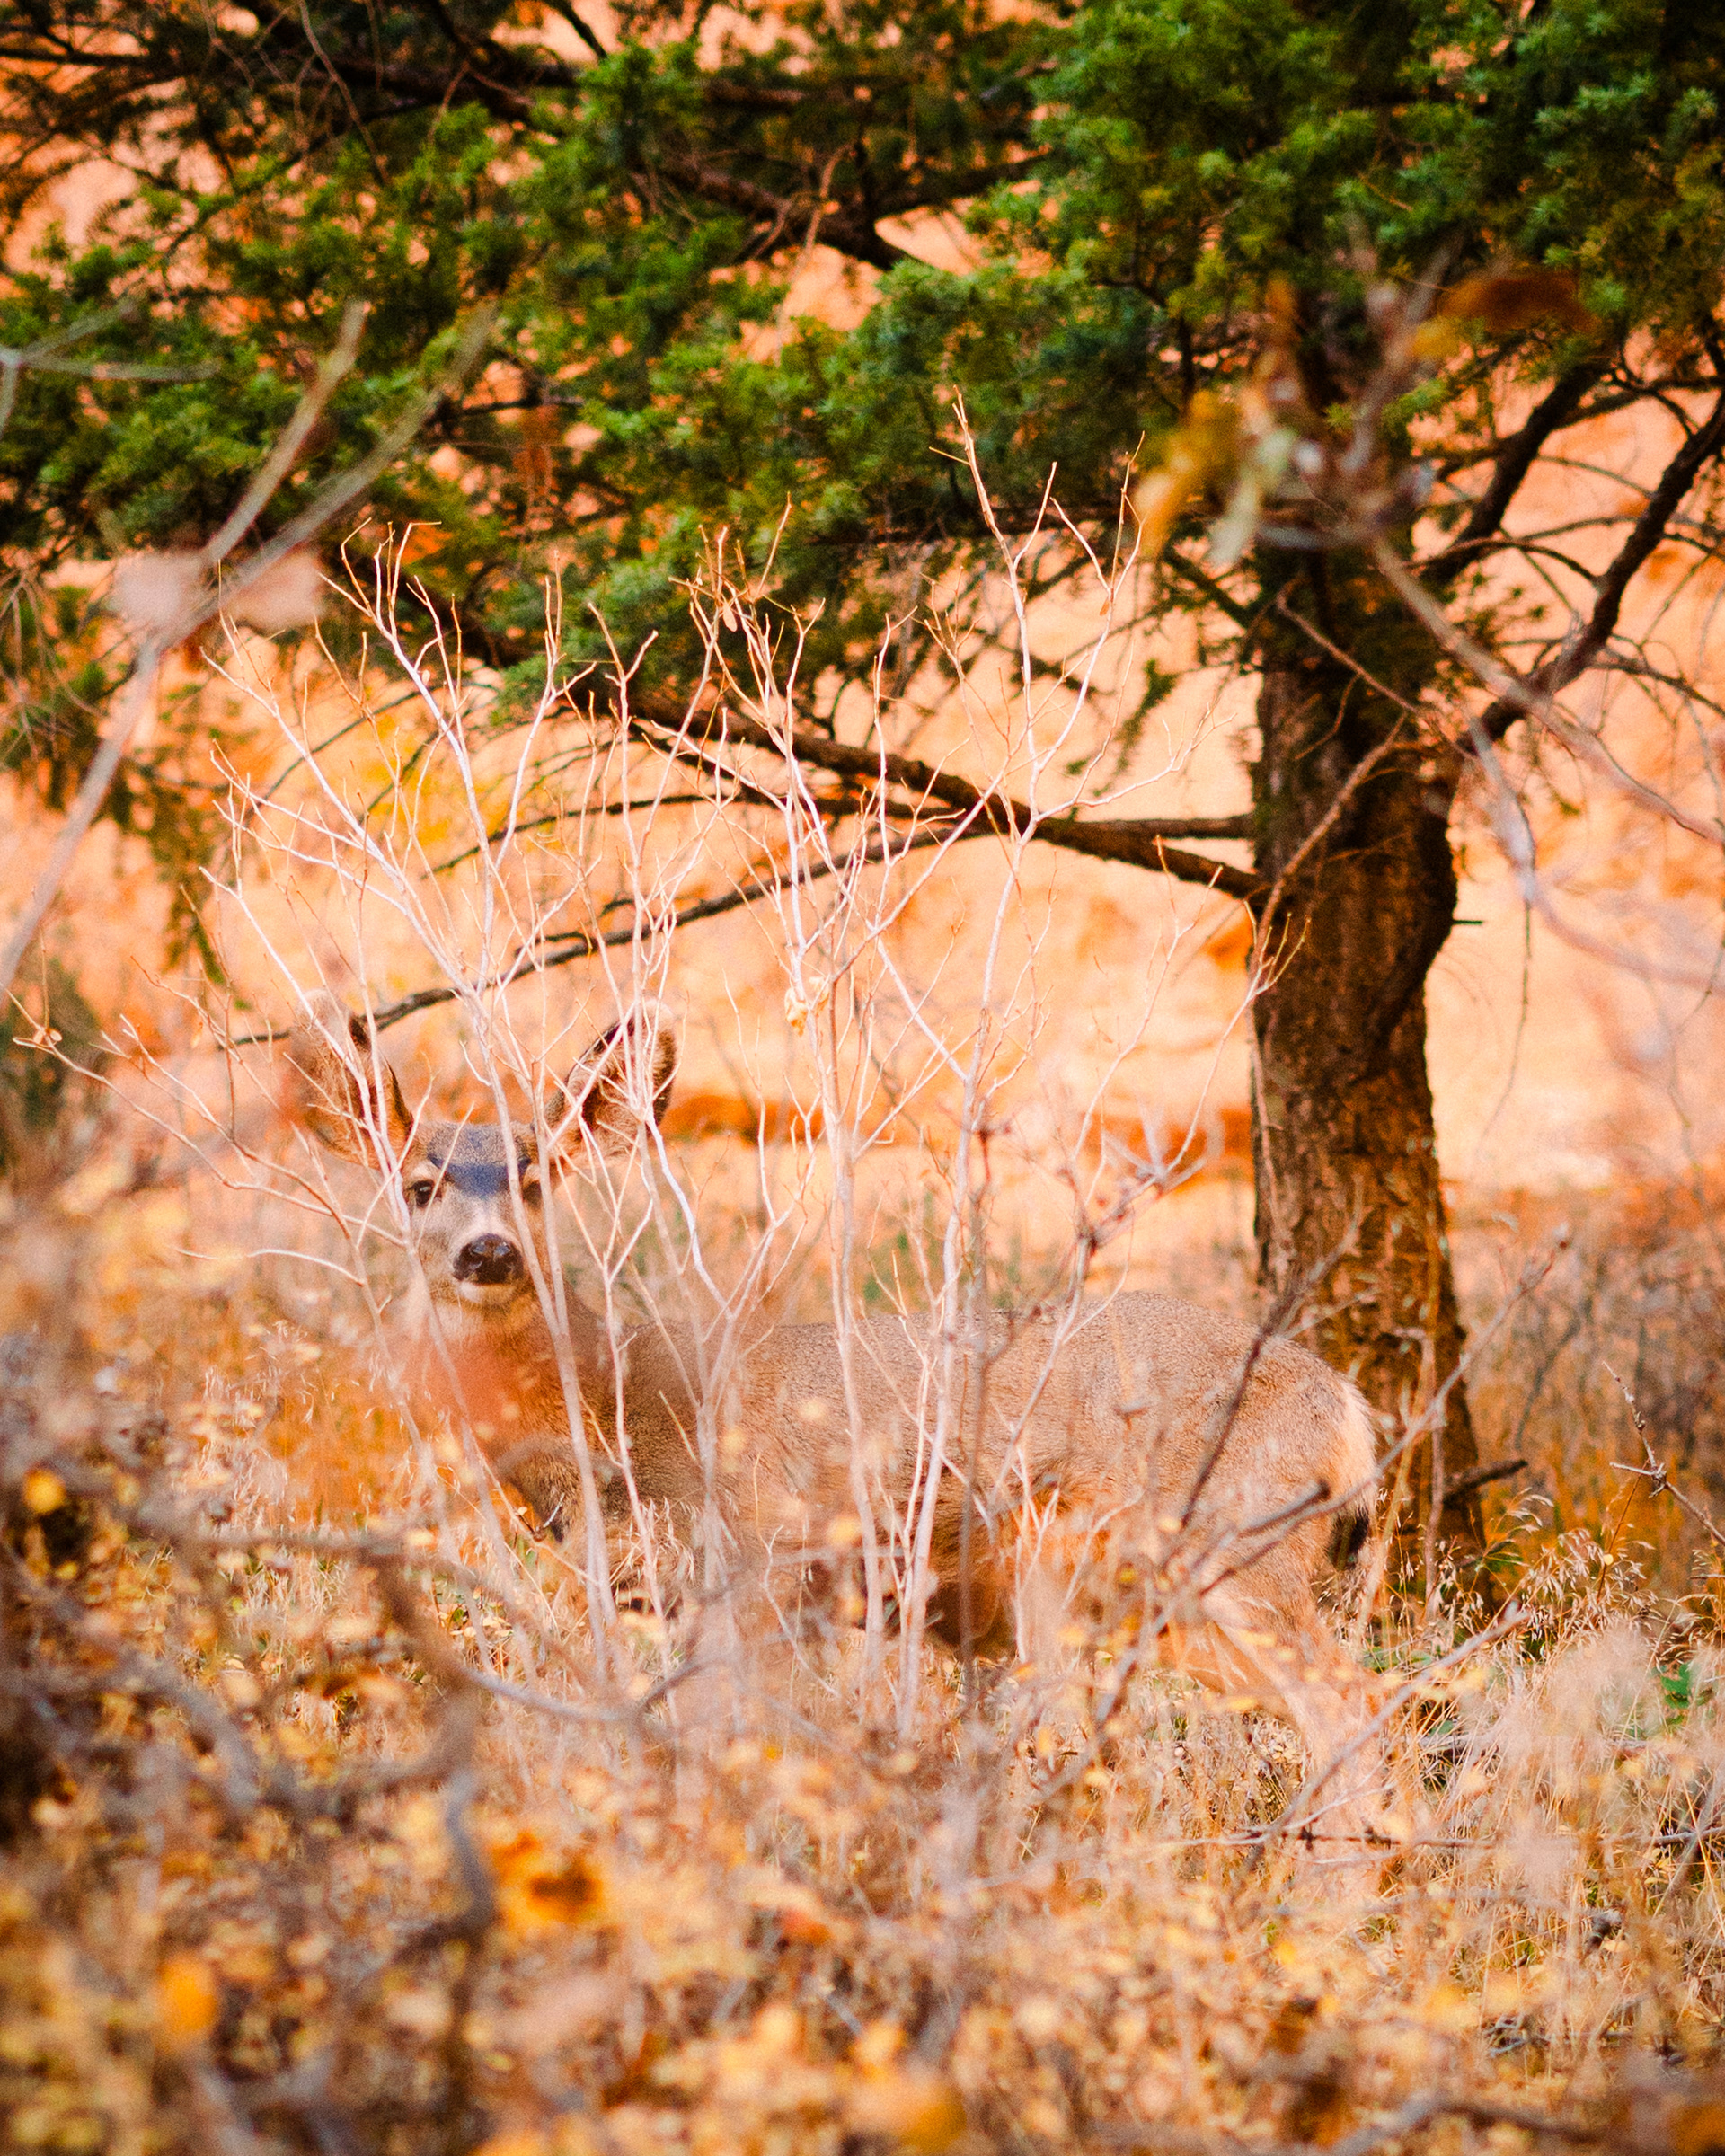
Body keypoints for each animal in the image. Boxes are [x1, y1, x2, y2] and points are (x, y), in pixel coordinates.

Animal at [285, 992, 1390, 1848]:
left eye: (536, 1181)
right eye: (418, 1186)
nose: (488, 1253)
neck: (617, 1420)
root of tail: (1347, 1410)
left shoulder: (761, 1561)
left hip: (1225, 1539)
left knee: (1349, 1704)